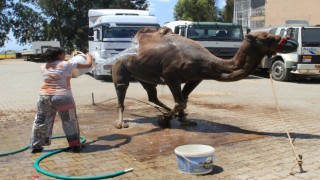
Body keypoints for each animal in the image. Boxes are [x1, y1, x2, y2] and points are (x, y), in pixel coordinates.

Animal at [112, 26, 292, 128]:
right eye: (267, 37)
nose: (290, 42)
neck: (208, 63)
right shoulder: (171, 77)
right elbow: (180, 101)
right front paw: (164, 121)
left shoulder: (195, 78)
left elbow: (184, 100)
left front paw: (184, 120)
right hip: (120, 68)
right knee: (121, 91)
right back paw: (121, 123)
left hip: (143, 76)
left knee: (152, 95)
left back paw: (165, 112)